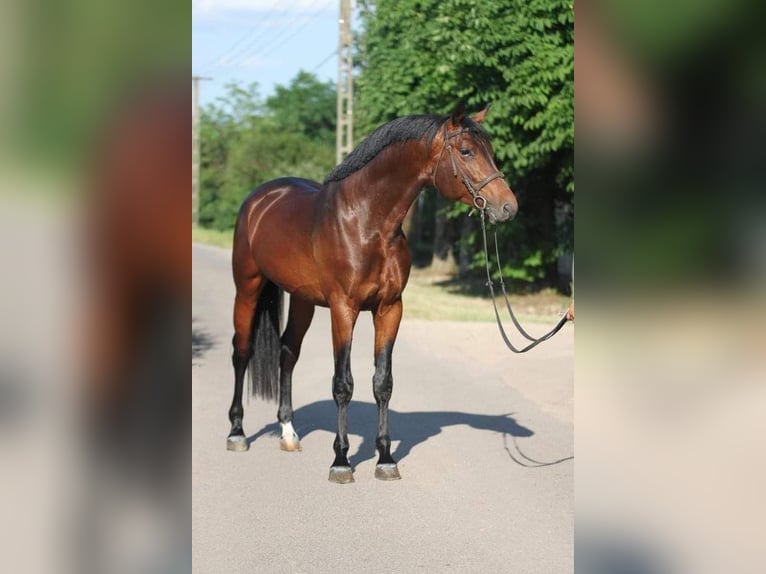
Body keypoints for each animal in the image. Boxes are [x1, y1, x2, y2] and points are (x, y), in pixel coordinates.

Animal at [226, 103, 516, 486]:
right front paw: (341, 462)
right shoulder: (343, 309)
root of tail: (259, 199)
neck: (367, 222)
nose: (508, 207)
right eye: (467, 151)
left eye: (491, 152)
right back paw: (237, 433)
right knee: (242, 352)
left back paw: (289, 433)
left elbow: (383, 382)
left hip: (303, 300)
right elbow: (343, 384)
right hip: (247, 288)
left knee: (288, 353)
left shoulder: (390, 309)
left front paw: (386, 458)